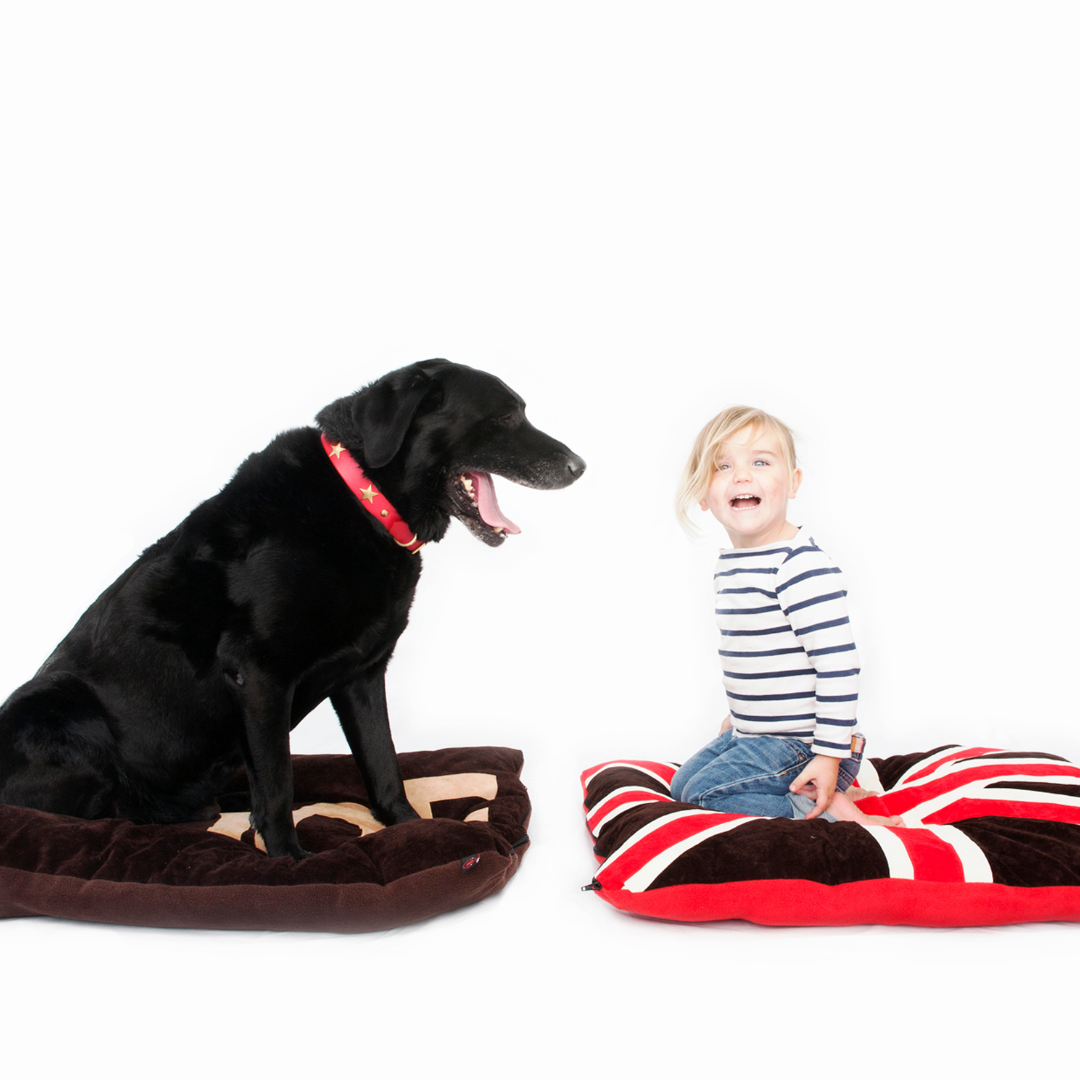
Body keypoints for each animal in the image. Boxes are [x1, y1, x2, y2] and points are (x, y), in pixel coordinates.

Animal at [0, 362, 587, 859]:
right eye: (506, 416)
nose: (580, 466)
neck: (364, 500)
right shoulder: (260, 675)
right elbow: (278, 782)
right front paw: (289, 861)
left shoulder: (362, 673)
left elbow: (383, 762)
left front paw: (408, 826)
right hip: (59, 708)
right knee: (103, 814)